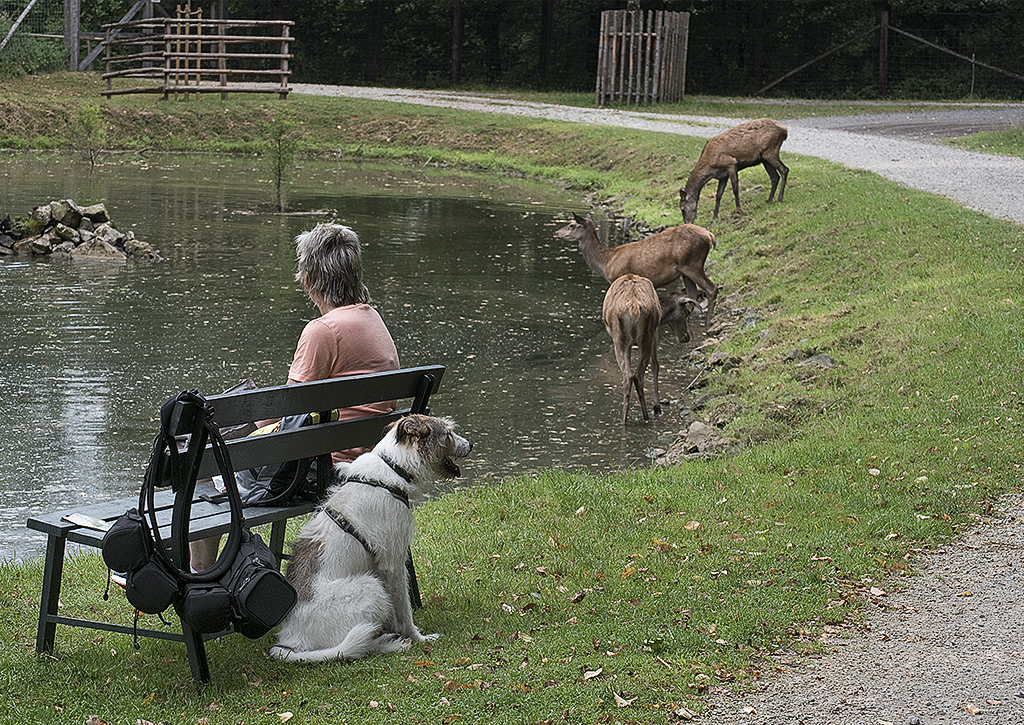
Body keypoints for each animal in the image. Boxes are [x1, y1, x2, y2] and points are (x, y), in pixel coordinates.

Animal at [266, 413, 468, 663]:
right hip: (370, 587)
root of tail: (291, 643)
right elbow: (404, 609)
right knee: (356, 647)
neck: (392, 468)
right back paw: (389, 644)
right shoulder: (394, 565)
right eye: (448, 434)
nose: (471, 445)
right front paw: (418, 638)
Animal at [552, 211, 720, 325]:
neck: (606, 262)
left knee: (711, 288)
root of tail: (710, 236)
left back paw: (707, 324)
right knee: (692, 295)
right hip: (685, 271)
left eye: (572, 225)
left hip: (692, 264)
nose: (556, 233)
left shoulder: (618, 277)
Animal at [598, 276, 663, 423]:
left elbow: (655, 364)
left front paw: (657, 405)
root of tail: (634, 306)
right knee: (635, 375)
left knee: (631, 375)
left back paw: (627, 419)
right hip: (645, 336)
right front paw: (656, 405)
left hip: (622, 337)